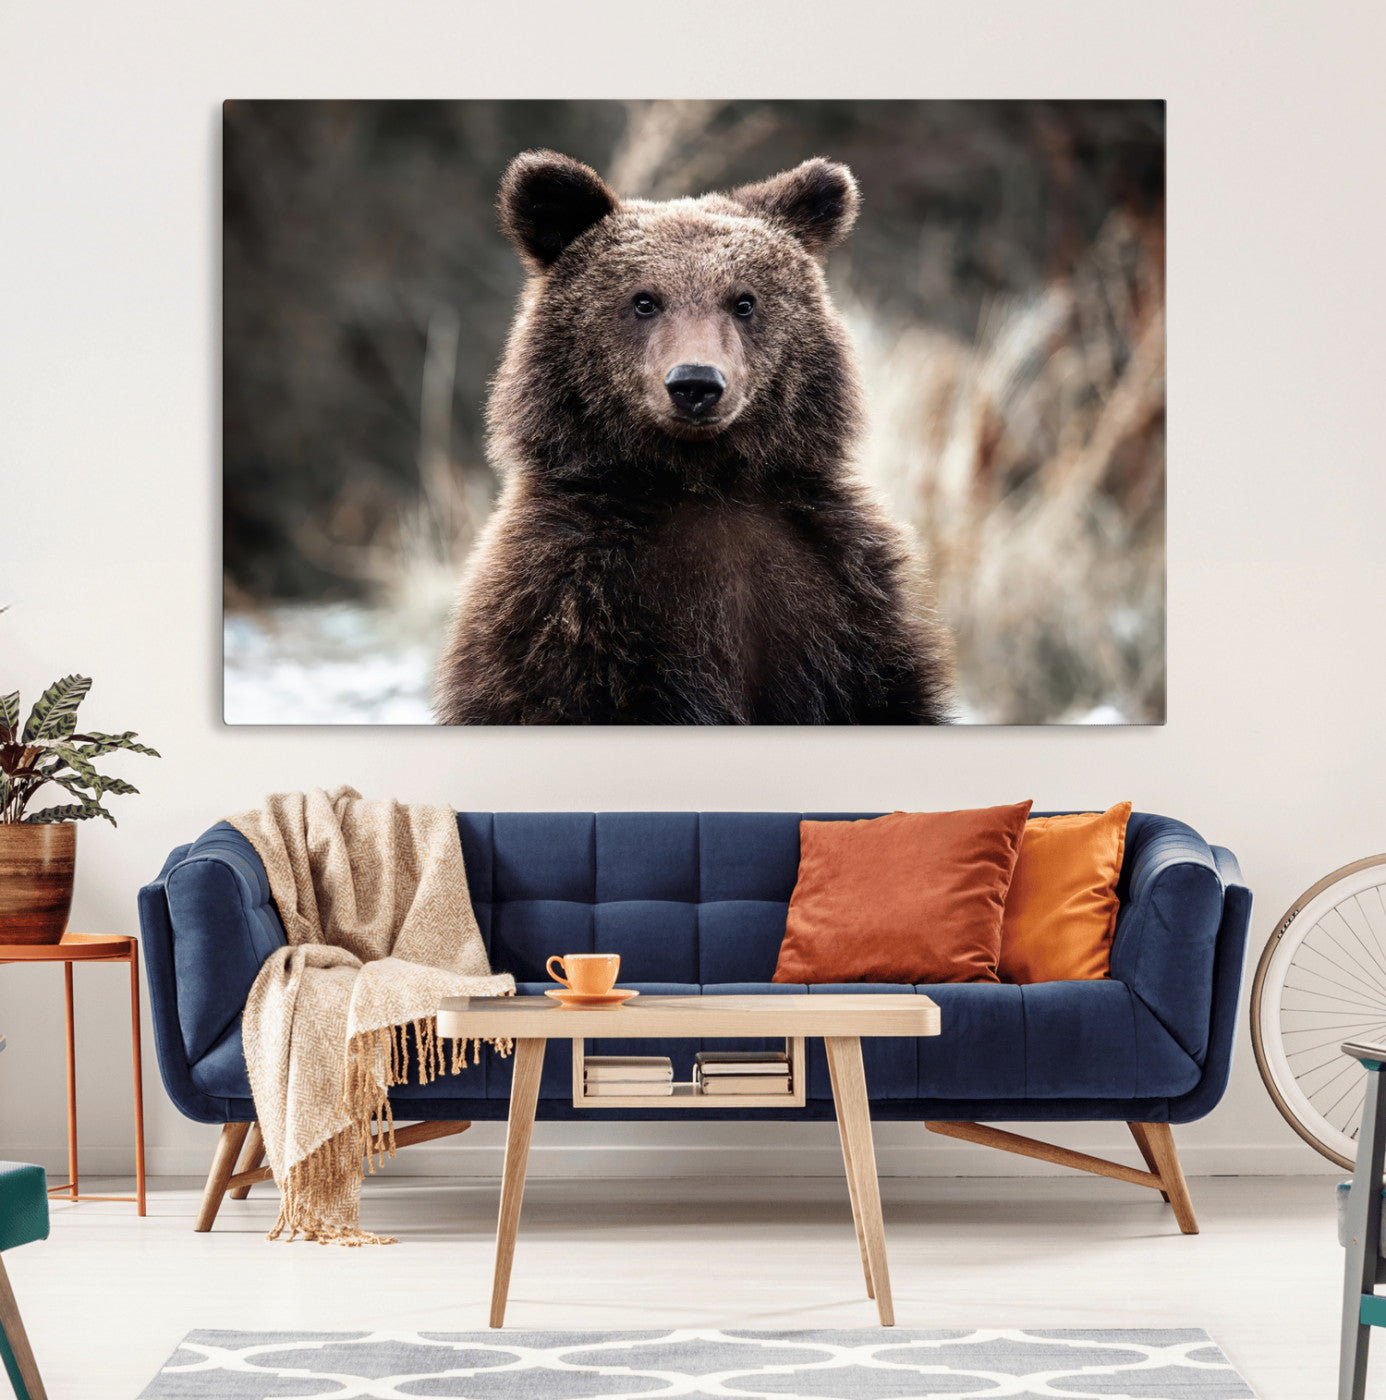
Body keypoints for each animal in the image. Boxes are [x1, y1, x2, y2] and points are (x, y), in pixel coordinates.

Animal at [433, 150, 954, 725]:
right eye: (643, 300)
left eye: (744, 301)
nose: (696, 384)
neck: (702, 482)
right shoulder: (568, 604)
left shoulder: (843, 597)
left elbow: (885, 691)